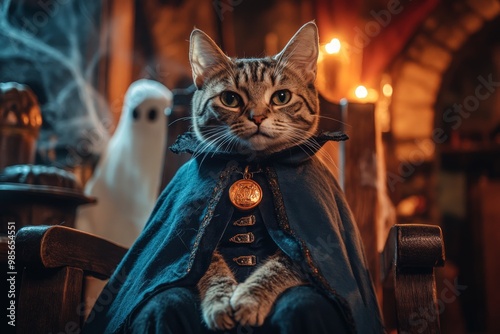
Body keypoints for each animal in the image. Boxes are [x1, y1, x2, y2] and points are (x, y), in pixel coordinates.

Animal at [189, 22, 322, 330]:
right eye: (230, 99)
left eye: (282, 97)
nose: (258, 117)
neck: (252, 166)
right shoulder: (201, 240)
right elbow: (209, 265)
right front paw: (219, 302)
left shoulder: (306, 250)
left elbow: (278, 267)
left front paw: (249, 298)